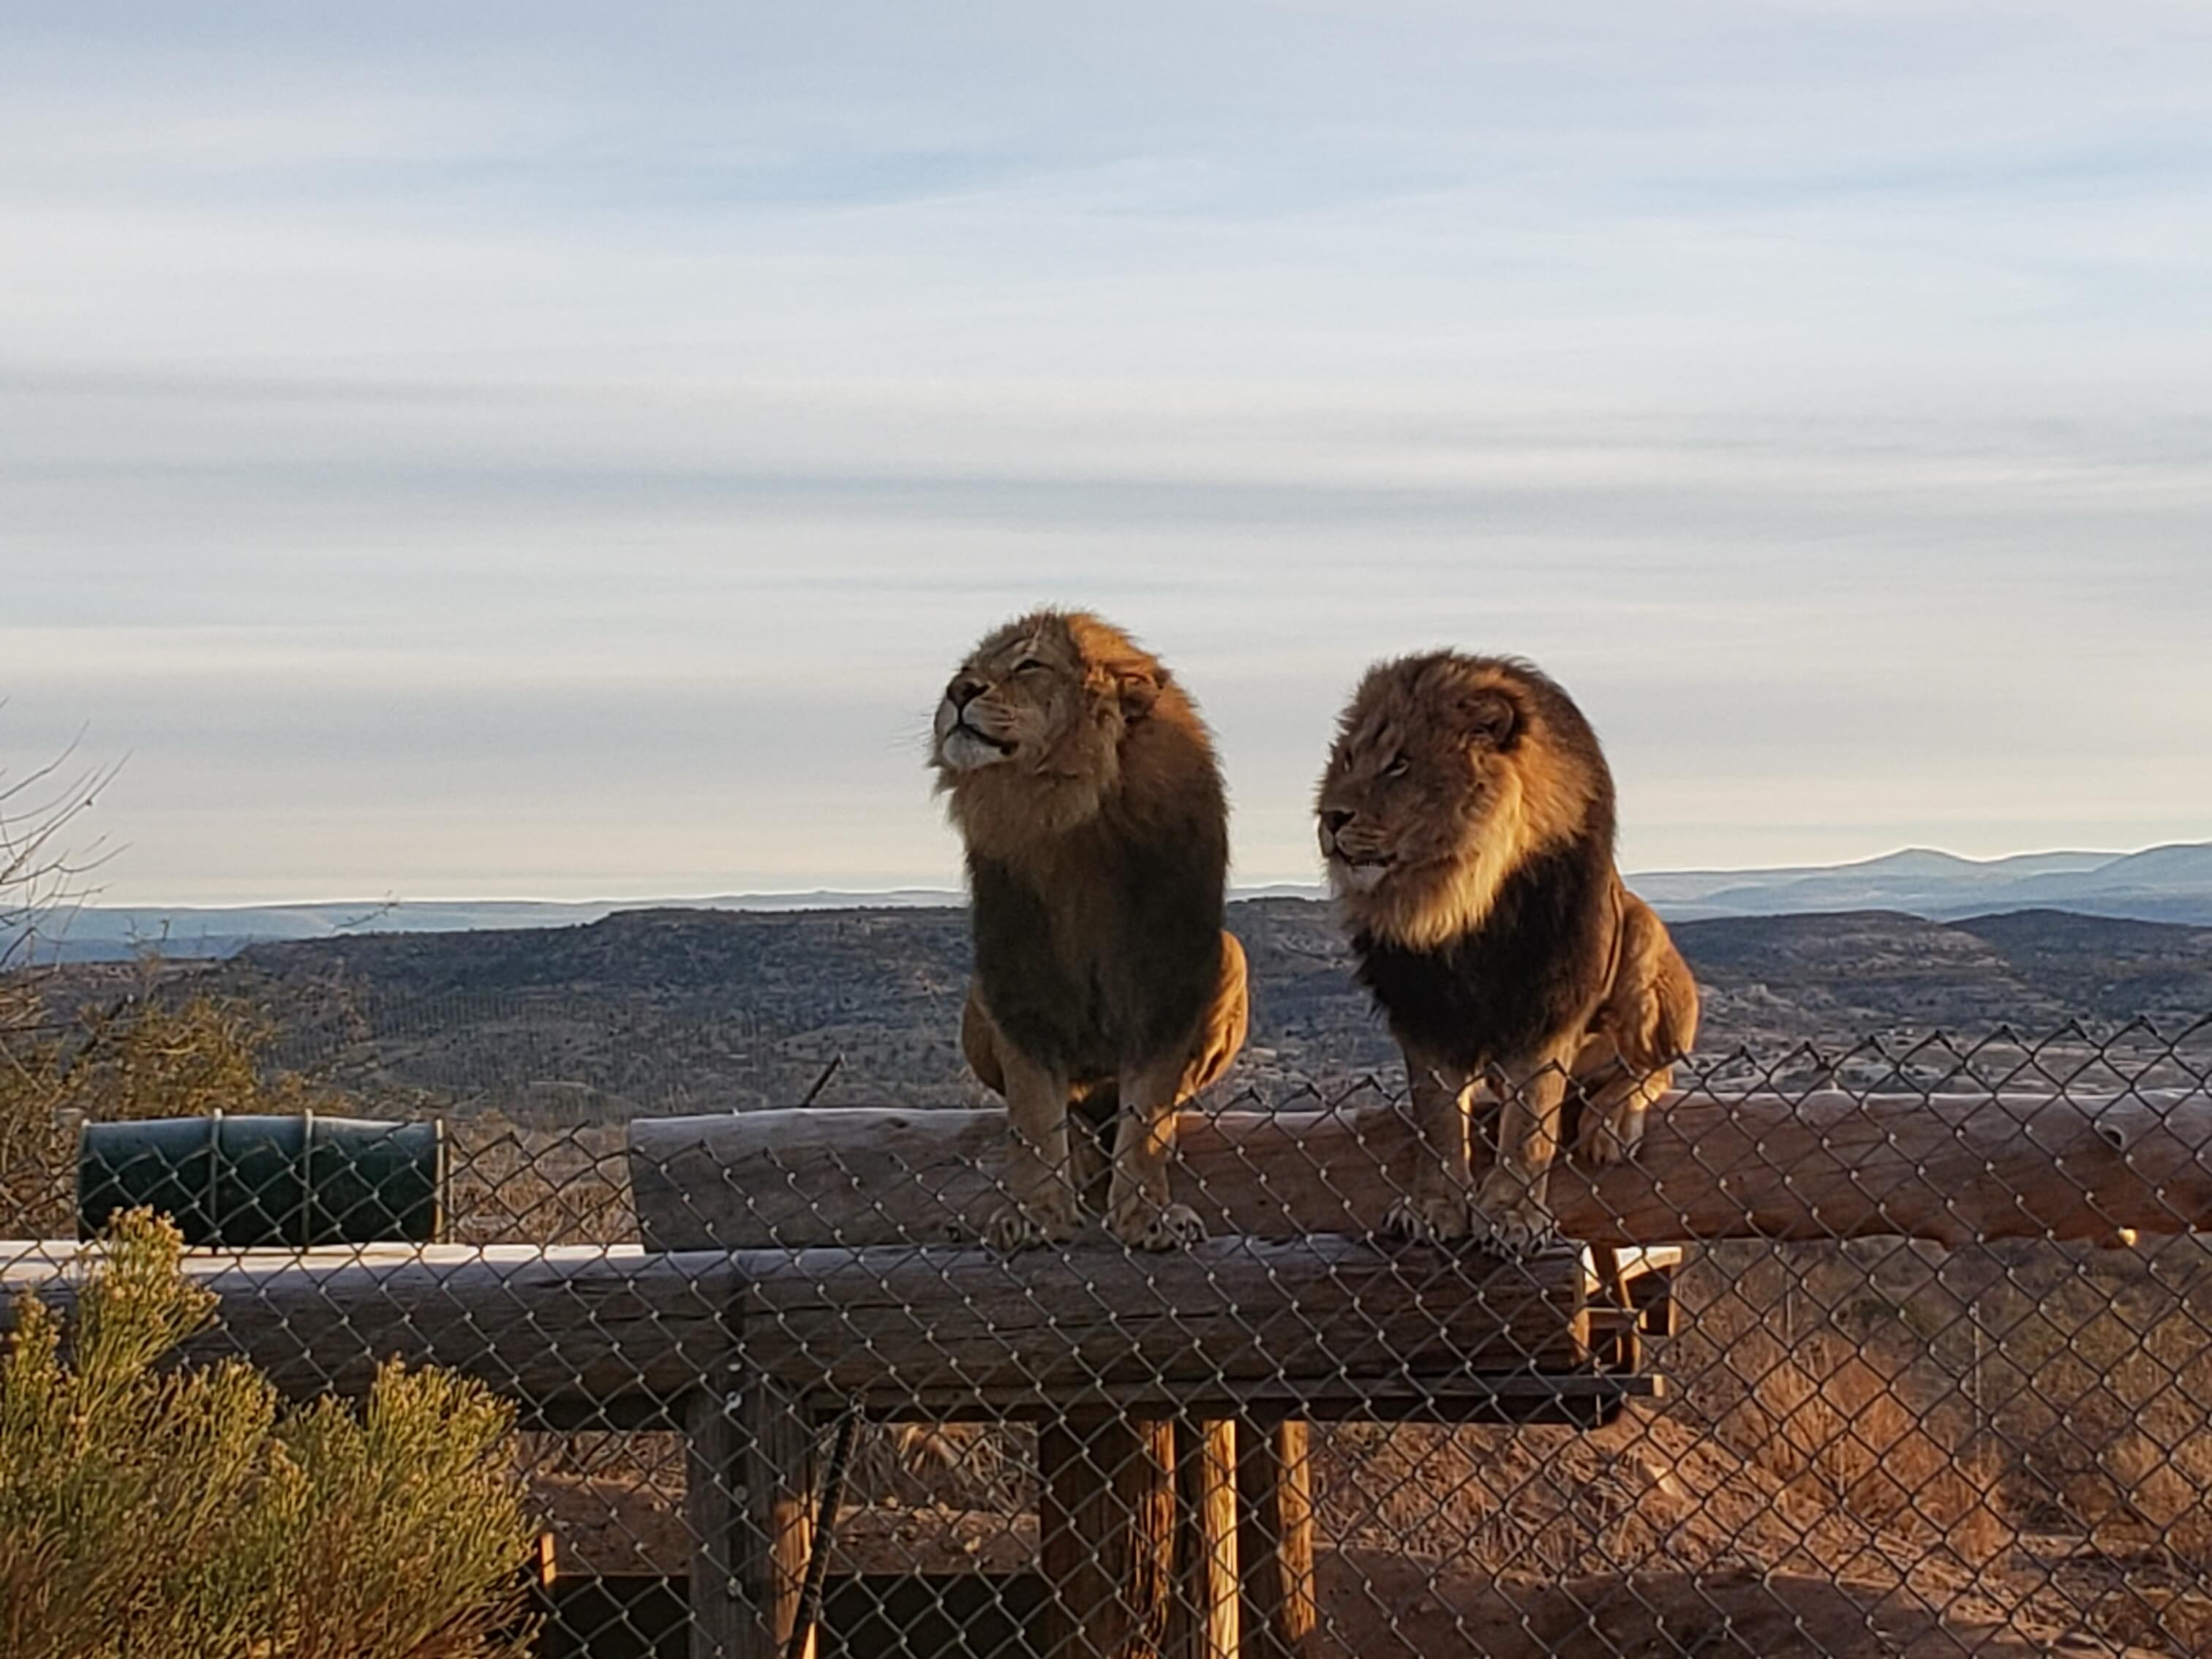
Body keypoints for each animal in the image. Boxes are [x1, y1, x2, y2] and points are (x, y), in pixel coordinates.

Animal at [932, 608, 1249, 1251]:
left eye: (1030, 664)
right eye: (968, 668)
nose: (957, 692)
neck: (1068, 819)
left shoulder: (1168, 978)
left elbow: (1147, 1116)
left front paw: (1147, 1217)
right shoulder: (1017, 978)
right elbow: (1031, 1118)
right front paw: (1037, 1216)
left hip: (1230, 955)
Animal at [1315, 651, 1699, 1257]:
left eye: (1400, 764)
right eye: (1349, 757)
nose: (1330, 817)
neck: (1453, 902)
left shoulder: (1547, 1001)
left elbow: (1532, 1121)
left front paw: (1514, 1215)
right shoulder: (1424, 1010)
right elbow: (1438, 1119)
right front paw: (1433, 1209)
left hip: (1641, 938)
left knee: (1653, 1069)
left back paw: (1611, 1122)